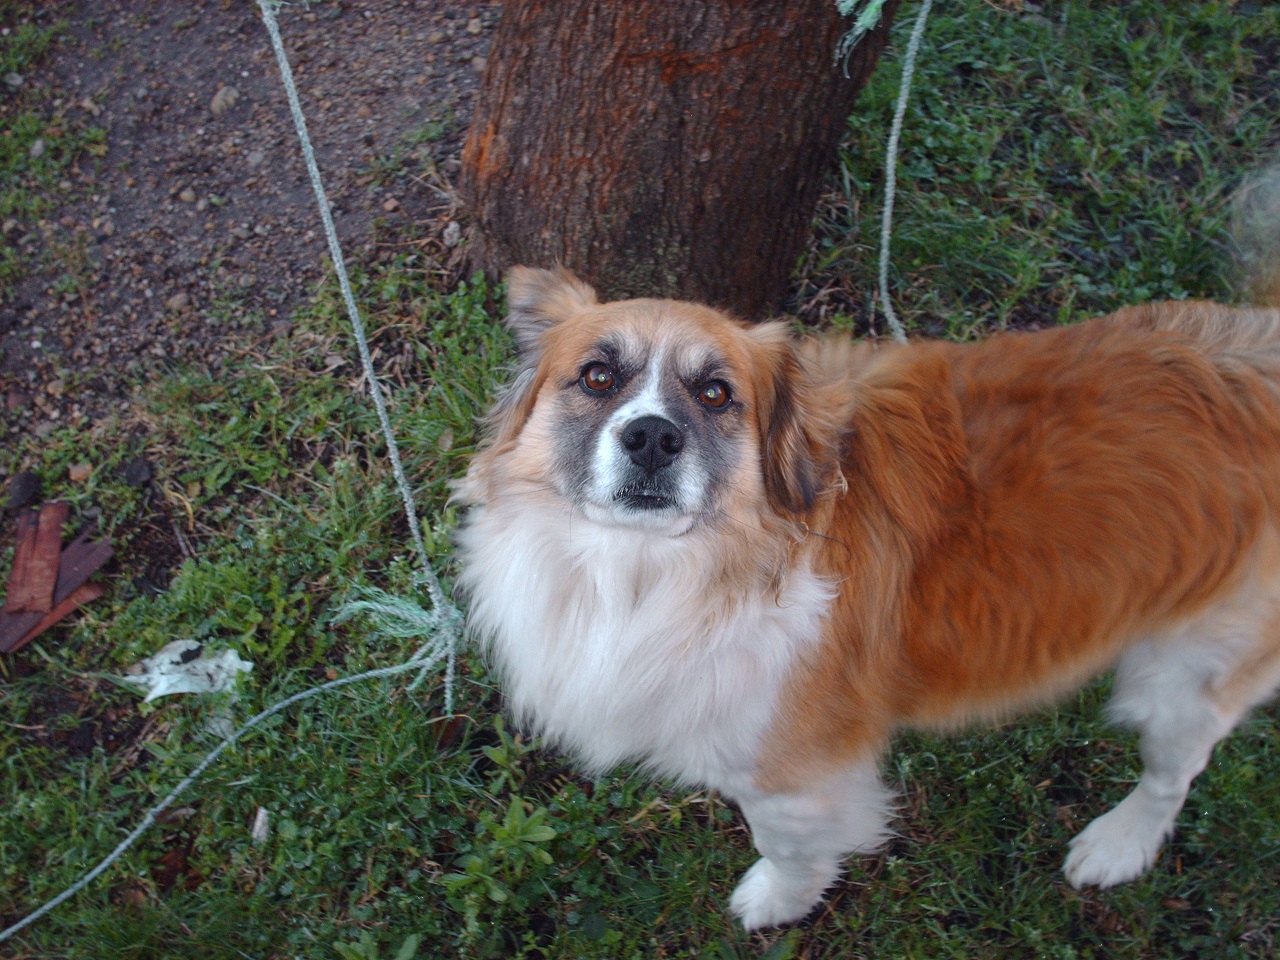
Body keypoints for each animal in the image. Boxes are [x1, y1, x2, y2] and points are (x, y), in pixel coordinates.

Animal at [453, 268, 1280, 931]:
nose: (654, 437)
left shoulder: (791, 770)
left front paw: (776, 902)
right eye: (597, 377)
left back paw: (1117, 844)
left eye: (717, 394)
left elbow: (787, 846)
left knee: (1173, 773)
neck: (664, 568)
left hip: (1189, 674)